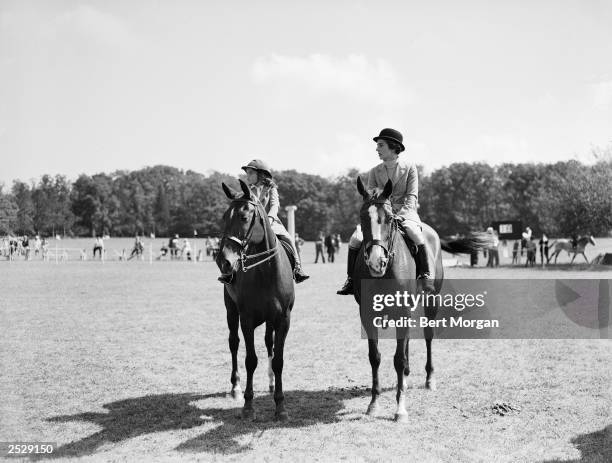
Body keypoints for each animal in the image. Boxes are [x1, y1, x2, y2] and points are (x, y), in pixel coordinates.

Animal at [216, 181, 296, 424]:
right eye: (224, 217)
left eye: (243, 217)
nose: (223, 260)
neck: (266, 272)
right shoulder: (247, 318)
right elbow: (250, 359)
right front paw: (248, 406)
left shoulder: (283, 319)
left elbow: (278, 359)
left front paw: (280, 406)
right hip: (231, 311)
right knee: (233, 343)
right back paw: (235, 387)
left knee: (269, 344)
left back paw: (270, 383)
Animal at [354, 179, 488, 424]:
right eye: (362, 218)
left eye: (389, 218)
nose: (377, 262)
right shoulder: (367, 314)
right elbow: (375, 357)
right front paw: (374, 404)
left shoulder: (403, 312)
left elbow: (398, 359)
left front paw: (400, 409)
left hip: (431, 300)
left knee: (427, 336)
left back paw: (429, 379)